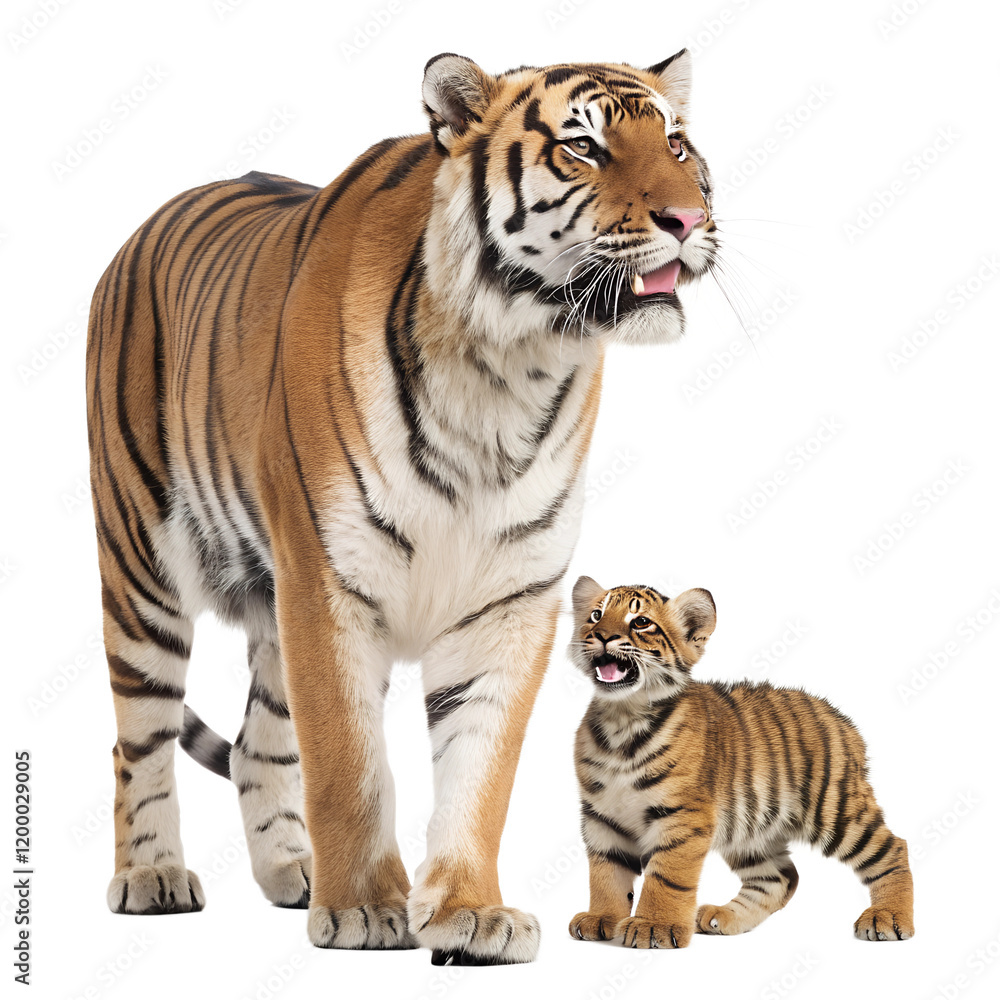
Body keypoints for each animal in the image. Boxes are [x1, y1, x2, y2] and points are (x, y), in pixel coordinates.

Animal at [86, 50, 719, 965]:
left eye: (675, 143)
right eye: (582, 148)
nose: (689, 217)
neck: (509, 364)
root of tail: (140, 229)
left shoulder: (509, 603)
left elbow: (479, 778)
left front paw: (471, 912)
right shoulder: (327, 584)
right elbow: (348, 764)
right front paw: (362, 909)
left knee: (255, 745)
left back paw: (292, 872)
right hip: (142, 572)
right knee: (138, 738)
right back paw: (152, 876)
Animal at [568, 577, 915, 948]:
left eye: (641, 622)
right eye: (595, 615)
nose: (601, 635)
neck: (621, 718)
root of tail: (842, 720)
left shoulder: (683, 816)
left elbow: (666, 876)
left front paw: (653, 926)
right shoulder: (602, 815)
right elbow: (606, 873)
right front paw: (601, 918)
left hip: (835, 810)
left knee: (893, 848)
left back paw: (889, 917)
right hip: (751, 830)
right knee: (781, 877)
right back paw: (722, 917)